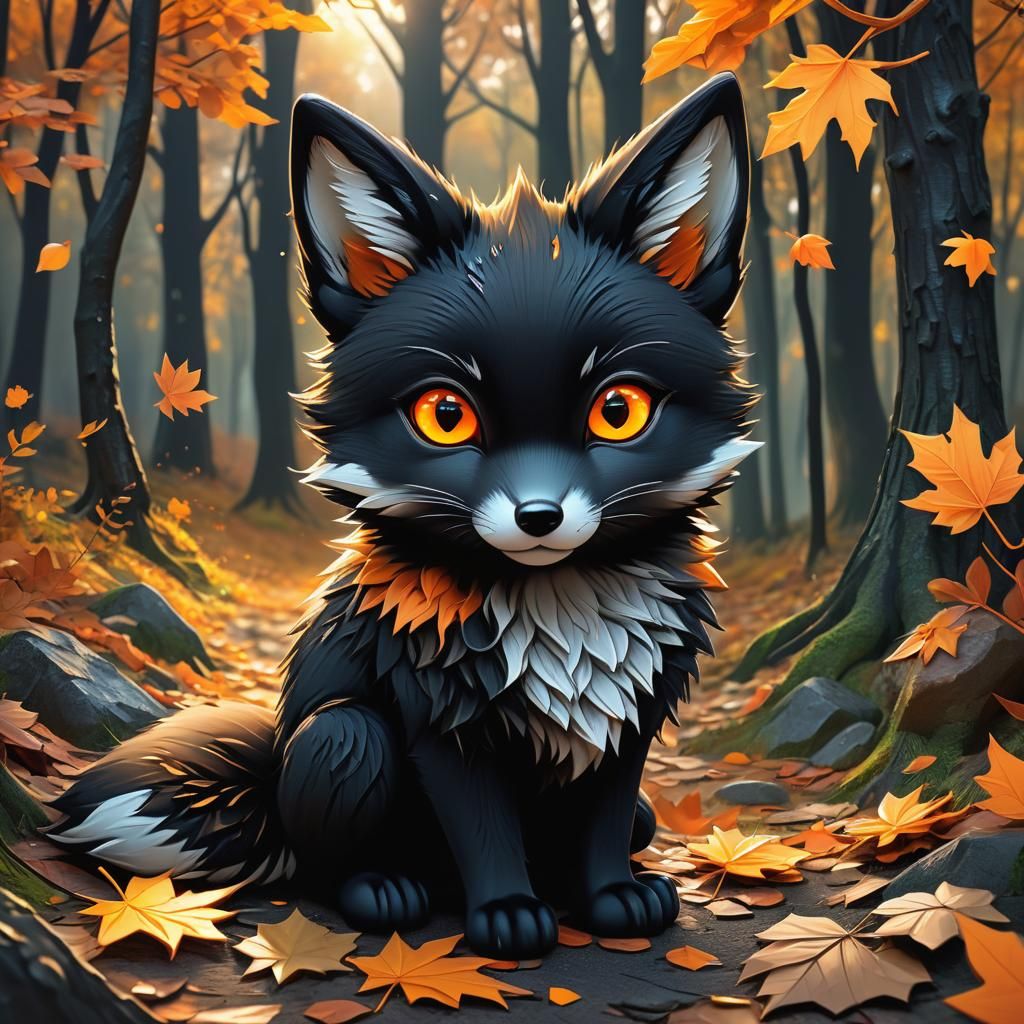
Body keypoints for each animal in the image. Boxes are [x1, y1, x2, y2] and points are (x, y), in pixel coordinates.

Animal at [48, 72, 755, 960]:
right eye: (445, 416)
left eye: (617, 411)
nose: (539, 516)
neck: (560, 620)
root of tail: (268, 778)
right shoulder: (440, 727)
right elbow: (484, 832)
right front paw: (507, 916)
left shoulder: (628, 721)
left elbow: (599, 828)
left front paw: (610, 900)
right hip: (343, 738)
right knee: (324, 864)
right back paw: (386, 892)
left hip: (631, 807)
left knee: (620, 828)